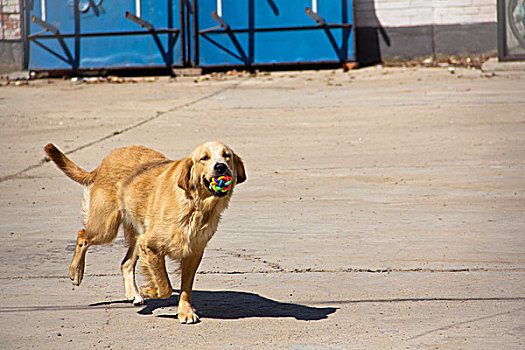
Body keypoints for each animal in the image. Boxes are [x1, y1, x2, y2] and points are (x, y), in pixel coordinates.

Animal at [43, 142, 246, 322]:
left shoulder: (193, 253)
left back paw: (133, 293)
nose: (220, 167)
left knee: (125, 263)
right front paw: (151, 290)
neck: (196, 206)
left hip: (136, 236)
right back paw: (76, 271)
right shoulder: (151, 246)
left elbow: (185, 288)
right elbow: (164, 285)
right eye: (204, 158)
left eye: (226, 155)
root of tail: (105, 161)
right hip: (106, 228)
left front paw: (185, 312)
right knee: (82, 235)